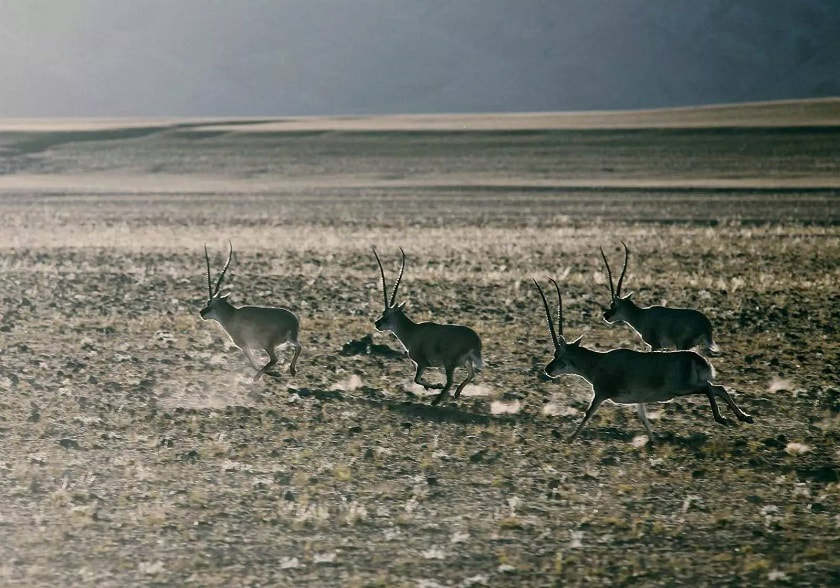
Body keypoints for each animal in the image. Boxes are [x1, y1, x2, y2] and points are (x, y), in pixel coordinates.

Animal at [199, 242, 300, 382]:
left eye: (211, 304)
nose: (201, 313)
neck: (232, 316)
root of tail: (293, 321)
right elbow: (254, 363)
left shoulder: (244, 346)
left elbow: (253, 363)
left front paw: (271, 374)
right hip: (289, 340)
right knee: (298, 347)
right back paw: (292, 370)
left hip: (268, 345)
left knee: (275, 359)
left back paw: (260, 376)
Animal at [372, 247, 482, 404]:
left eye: (387, 315)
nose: (377, 324)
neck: (412, 331)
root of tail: (475, 341)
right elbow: (418, 380)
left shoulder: (422, 363)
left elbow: (416, 379)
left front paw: (436, 386)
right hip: (466, 362)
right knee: (471, 375)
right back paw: (456, 394)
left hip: (449, 363)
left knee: (451, 381)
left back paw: (436, 401)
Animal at [536, 280, 752, 440]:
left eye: (559, 354)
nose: (548, 369)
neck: (597, 362)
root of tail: (697, 358)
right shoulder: (637, 398)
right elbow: (642, 416)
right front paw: (652, 441)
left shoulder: (601, 393)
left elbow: (588, 413)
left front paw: (570, 439)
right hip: (690, 385)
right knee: (719, 388)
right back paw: (745, 417)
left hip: (683, 388)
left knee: (708, 388)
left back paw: (723, 419)